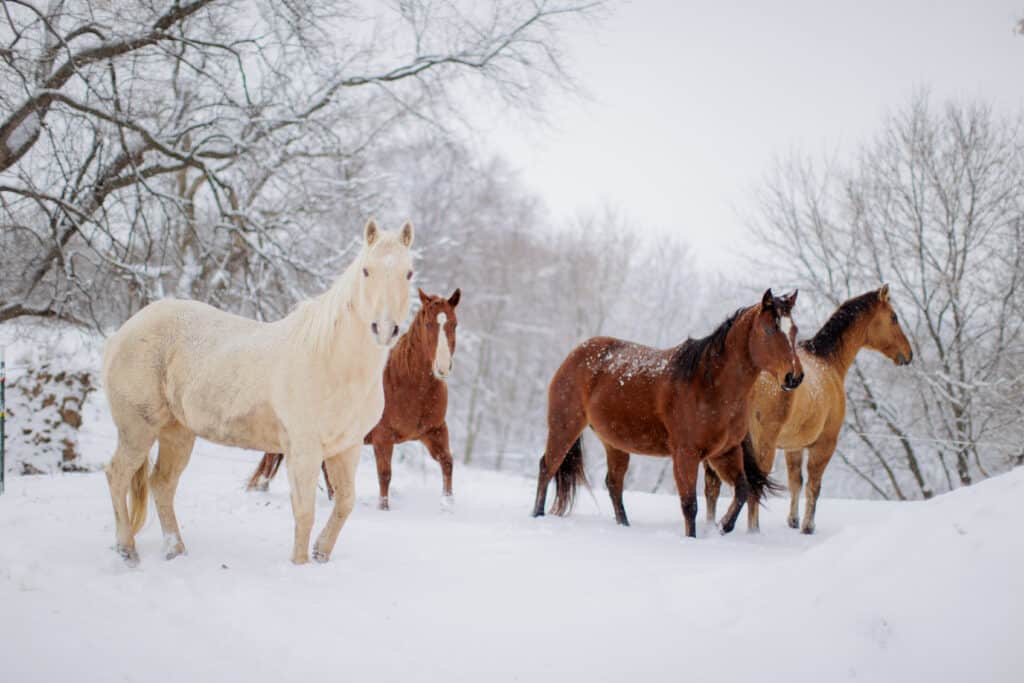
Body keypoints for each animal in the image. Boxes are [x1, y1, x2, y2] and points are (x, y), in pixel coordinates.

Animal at [102, 219, 414, 566]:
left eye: (409, 273)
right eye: (366, 271)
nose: (384, 329)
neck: (332, 362)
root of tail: (122, 333)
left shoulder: (346, 447)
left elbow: (345, 502)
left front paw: (321, 553)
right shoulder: (303, 449)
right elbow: (304, 513)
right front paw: (300, 565)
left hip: (177, 432)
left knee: (162, 484)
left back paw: (175, 550)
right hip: (137, 429)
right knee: (117, 474)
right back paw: (127, 550)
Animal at [247, 288, 461, 511]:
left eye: (454, 324)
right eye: (428, 324)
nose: (443, 368)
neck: (411, 385)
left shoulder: (434, 431)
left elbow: (447, 462)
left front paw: (448, 503)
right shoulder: (383, 438)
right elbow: (385, 474)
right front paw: (384, 509)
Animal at [532, 289, 804, 538]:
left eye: (794, 330)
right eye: (769, 330)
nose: (795, 377)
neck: (710, 386)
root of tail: (575, 354)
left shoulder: (725, 452)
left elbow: (743, 489)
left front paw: (723, 525)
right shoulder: (686, 454)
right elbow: (690, 505)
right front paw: (693, 538)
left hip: (615, 443)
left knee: (614, 484)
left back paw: (624, 526)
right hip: (565, 427)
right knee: (547, 467)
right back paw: (537, 515)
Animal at [704, 285, 913, 534]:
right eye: (894, 317)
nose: (909, 354)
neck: (828, 361)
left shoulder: (793, 447)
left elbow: (796, 481)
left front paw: (793, 521)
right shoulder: (824, 444)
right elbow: (814, 484)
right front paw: (807, 526)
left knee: (712, 489)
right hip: (762, 447)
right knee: (754, 488)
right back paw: (753, 530)